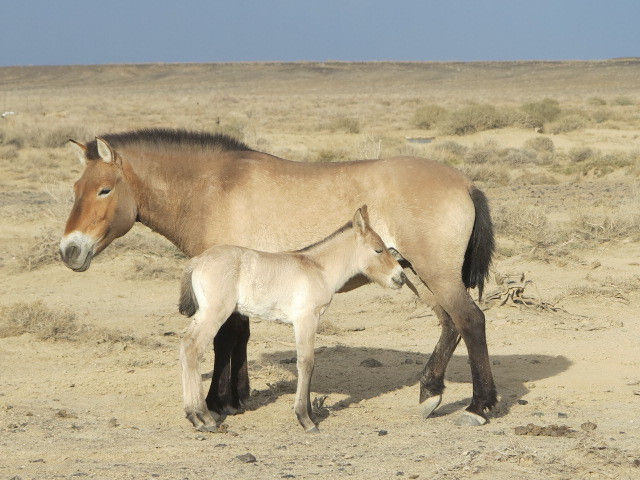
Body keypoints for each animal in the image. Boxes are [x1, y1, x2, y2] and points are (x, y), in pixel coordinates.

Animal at [178, 204, 404, 434]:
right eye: (378, 249)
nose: (401, 277)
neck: (318, 268)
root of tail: (198, 260)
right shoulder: (306, 319)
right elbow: (306, 362)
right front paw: (305, 419)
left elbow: (309, 364)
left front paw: (312, 414)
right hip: (215, 313)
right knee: (194, 349)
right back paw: (204, 418)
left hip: (204, 315)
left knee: (186, 345)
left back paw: (193, 416)